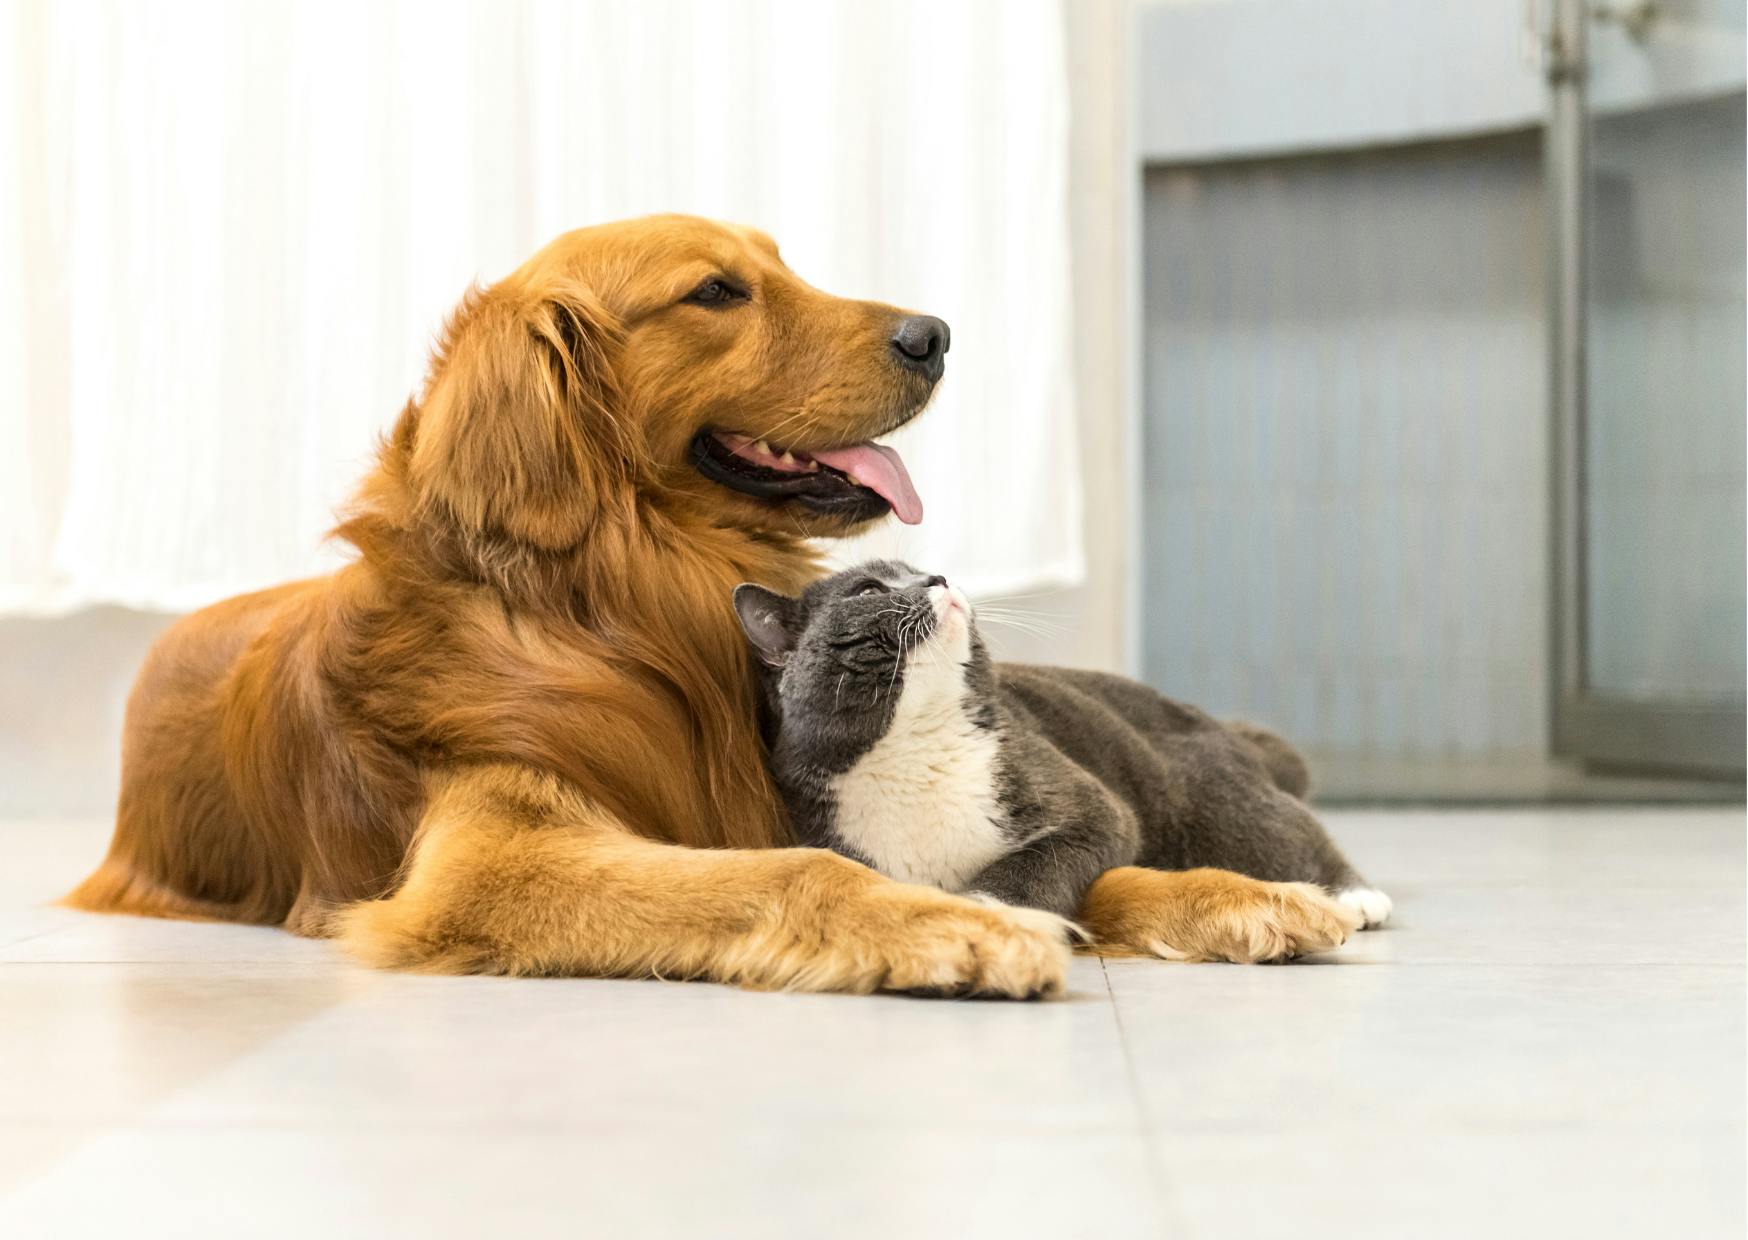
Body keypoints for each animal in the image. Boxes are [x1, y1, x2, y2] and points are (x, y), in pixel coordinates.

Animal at [734, 556, 1391, 930]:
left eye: (918, 565)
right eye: (869, 588)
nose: (939, 578)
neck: (913, 749)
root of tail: (1219, 725)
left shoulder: (1084, 803)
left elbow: (1043, 855)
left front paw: (989, 908)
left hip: (1214, 799)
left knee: (1288, 832)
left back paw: (1359, 898)